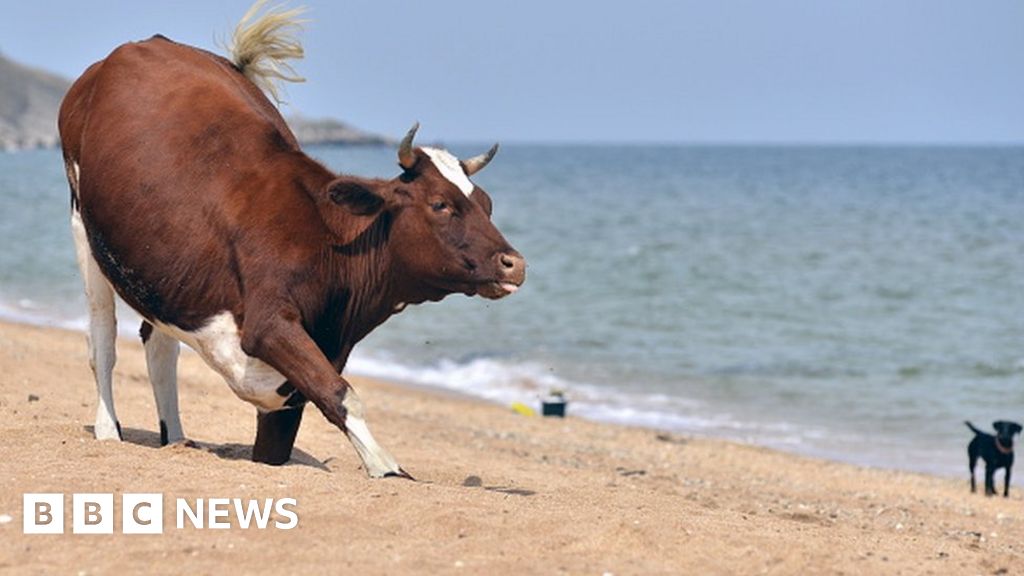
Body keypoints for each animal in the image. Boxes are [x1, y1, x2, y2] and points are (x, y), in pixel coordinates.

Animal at [55, 2, 524, 475]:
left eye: (487, 204)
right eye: (440, 204)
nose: (514, 263)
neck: (324, 243)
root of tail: (142, 45)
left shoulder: (290, 388)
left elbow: (285, 437)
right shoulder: (268, 326)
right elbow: (340, 394)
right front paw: (388, 468)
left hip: (161, 269)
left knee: (159, 346)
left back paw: (178, 438)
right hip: (83, 226)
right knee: (102, 340)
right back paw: (109, 430)